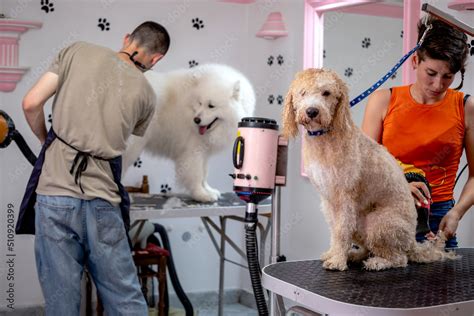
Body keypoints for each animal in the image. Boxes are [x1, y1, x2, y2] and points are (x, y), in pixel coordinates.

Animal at [122, 64, 256, 201]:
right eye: (200, 103)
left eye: (211, 106)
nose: (196, 120)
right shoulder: (192, 151)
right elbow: (196, 174)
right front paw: (201, 195)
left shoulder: (203, 152)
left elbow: (204, 173)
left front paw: (208, 190)